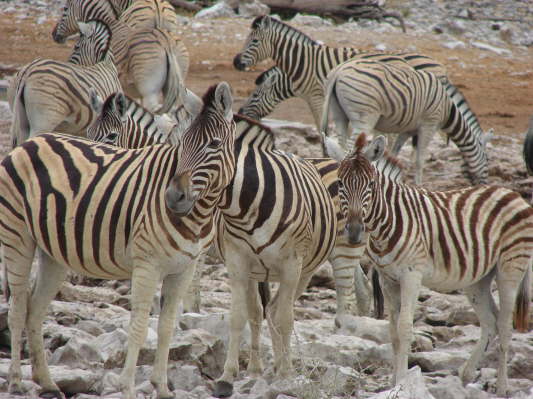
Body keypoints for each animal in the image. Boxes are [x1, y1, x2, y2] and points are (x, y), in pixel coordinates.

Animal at [320, 59, 490, 186]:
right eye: (487, 160)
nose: (483, 185)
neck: (448, 109)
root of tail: (339, 69)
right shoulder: (429, 125)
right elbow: (420, 159)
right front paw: (419, 184)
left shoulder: (409, 130)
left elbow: (396, 152)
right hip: (365, 117)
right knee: (350, 146)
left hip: (339, 114)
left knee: (341, 142)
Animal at [324, 134, 532, 396]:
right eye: (340, 184)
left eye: (370, 185)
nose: (353, 233)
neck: (387, 223)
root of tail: (513, 194)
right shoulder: (388, 279)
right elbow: (392, 332)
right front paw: (392, 383)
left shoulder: (412, 275)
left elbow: (404, 328)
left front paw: (403, 382)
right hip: (478, 278)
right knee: (490, 322)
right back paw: (465, 375)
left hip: (510, 268)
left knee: (505, 326)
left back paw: (502, 388)